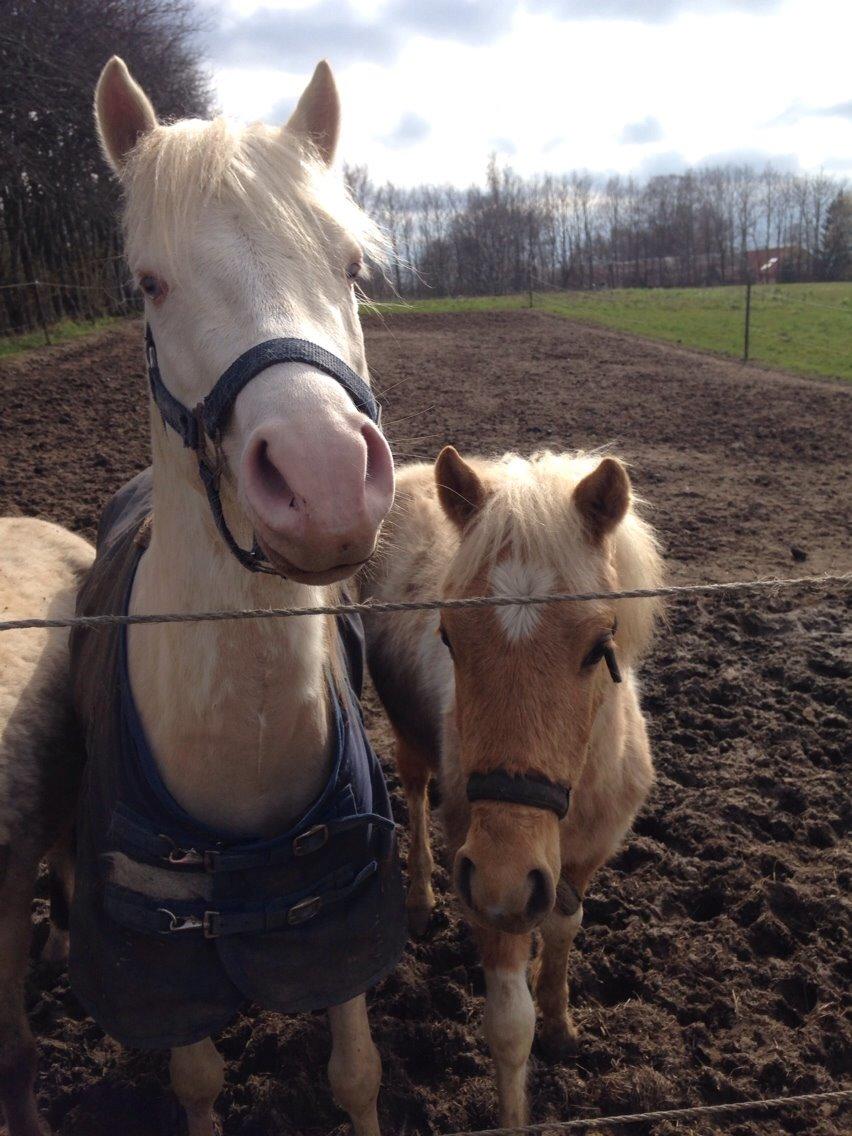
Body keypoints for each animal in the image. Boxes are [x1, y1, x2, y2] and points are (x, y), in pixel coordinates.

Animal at [65, 55, 404, 1136]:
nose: (324, 475)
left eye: (352, 267)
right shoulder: (156, 975)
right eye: (149, 283)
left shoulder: (339, 924)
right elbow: (197, 1082)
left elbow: (356, 1073)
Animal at [361, 445, 667, 1126]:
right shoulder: (487, 889)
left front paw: (560, 1024)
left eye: (599, 646)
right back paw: (418, 898)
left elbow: (562, 929)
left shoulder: (578, 862)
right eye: (448, 636)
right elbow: (508, 1027)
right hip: (412, 744)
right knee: (415, 794)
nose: (504, 876)